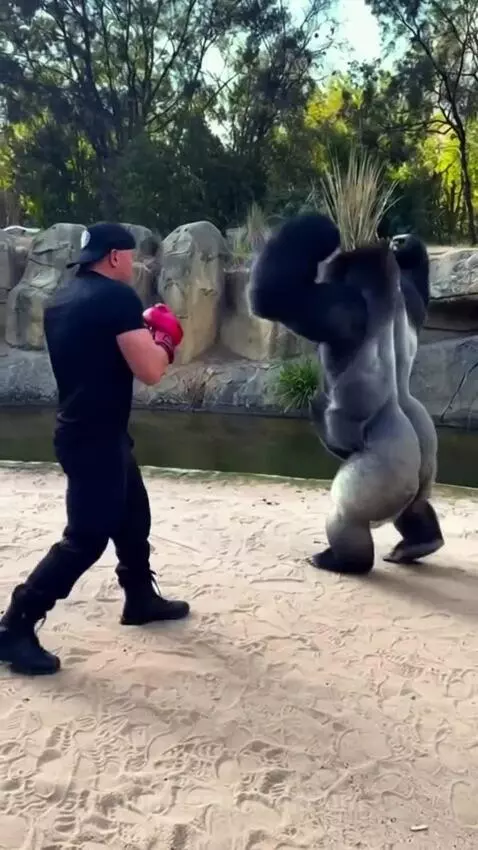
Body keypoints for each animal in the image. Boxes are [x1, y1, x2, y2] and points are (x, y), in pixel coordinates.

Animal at [248, 213, 421, 574]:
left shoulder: (346, 305)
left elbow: (275, 296)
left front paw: (321, 228)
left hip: (384, 475)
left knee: (345, 511)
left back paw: (347, 561)